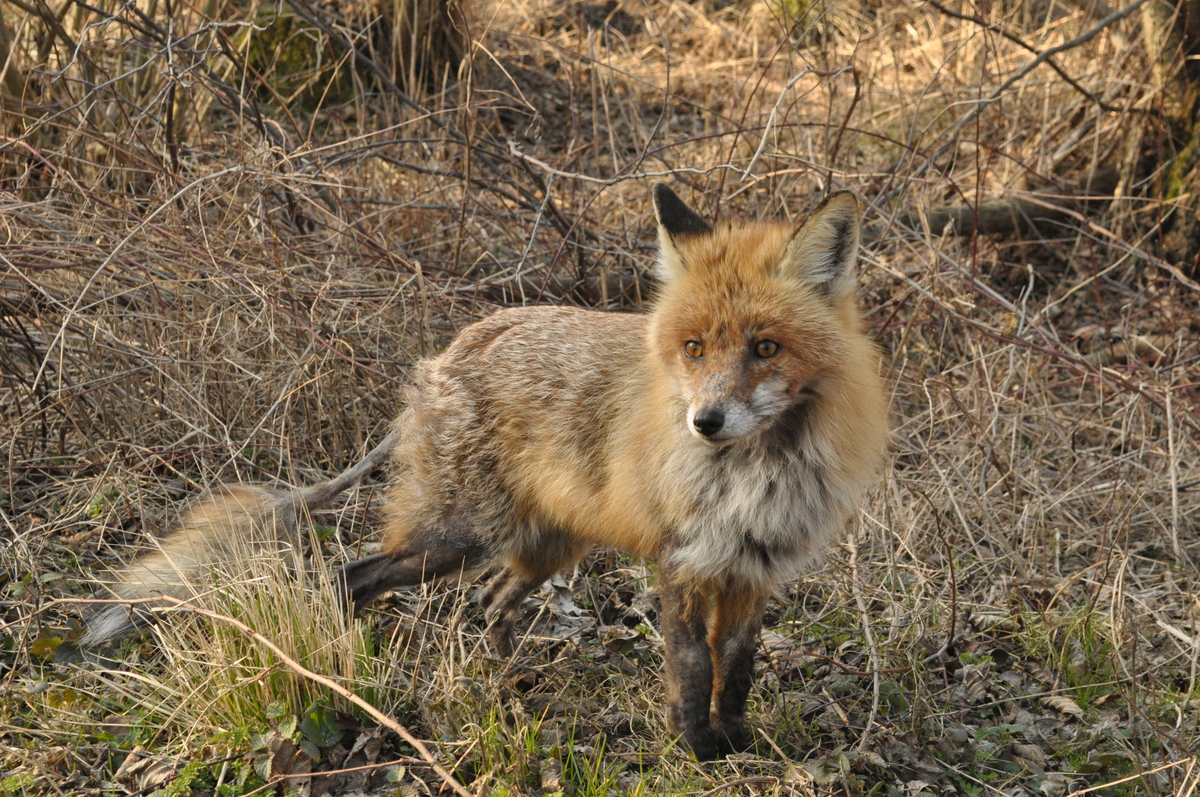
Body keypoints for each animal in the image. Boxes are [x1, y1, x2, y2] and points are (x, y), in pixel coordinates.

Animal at [79, 183, 888, 763]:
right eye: (692, 347)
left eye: (765, 347)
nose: (706, 421)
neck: (757, 475)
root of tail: (448, 352)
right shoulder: (683, 559)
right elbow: (692, 668)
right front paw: (699, 753)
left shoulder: (752, 566)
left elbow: (738, 667)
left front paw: (741, 743)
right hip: (456, 535)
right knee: (349, 578)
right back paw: (344, 673)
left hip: (543, 547)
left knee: (488, 604)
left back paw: (509, 694)